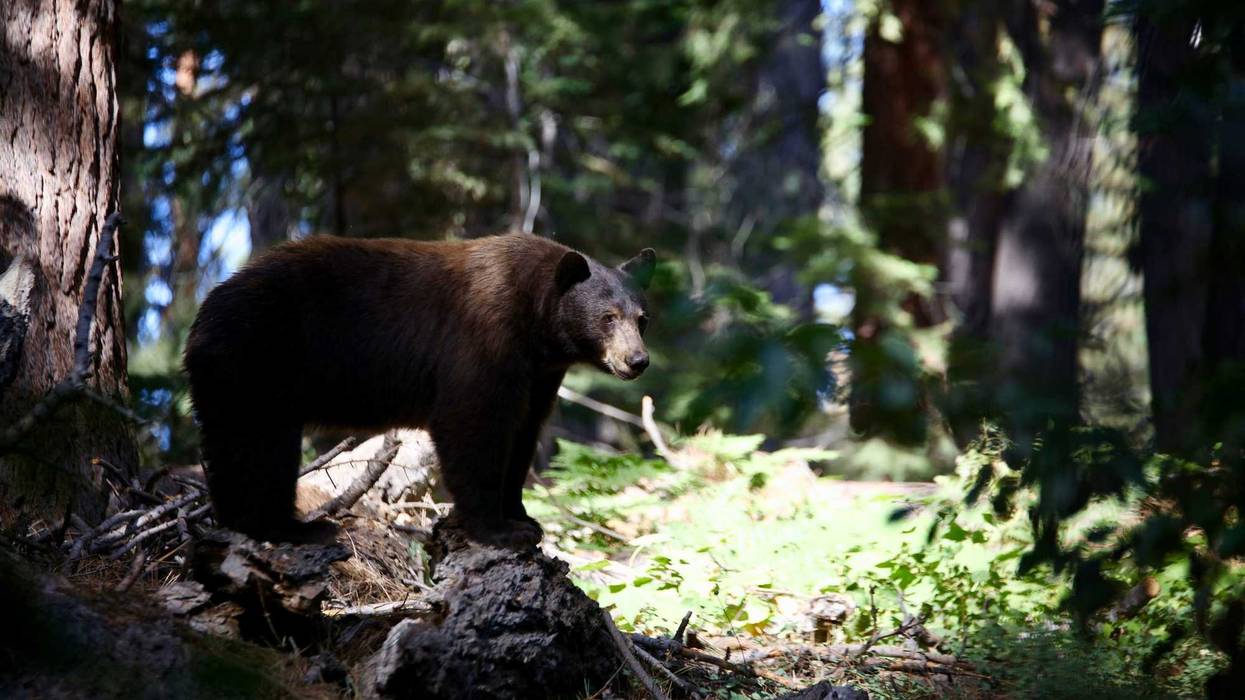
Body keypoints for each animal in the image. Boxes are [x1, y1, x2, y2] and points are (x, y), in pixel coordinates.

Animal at [183, 233, 655, 547]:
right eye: (608, 317)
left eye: (642, 318)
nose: (638, 360)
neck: (537, 322)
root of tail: (203, 315)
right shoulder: (484, 339)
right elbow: (472, 423)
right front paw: (498, 528)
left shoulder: (539, 374)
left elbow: (523, 432)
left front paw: (522, 516)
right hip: (254, 362)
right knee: (254, 447)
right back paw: (281, 527)